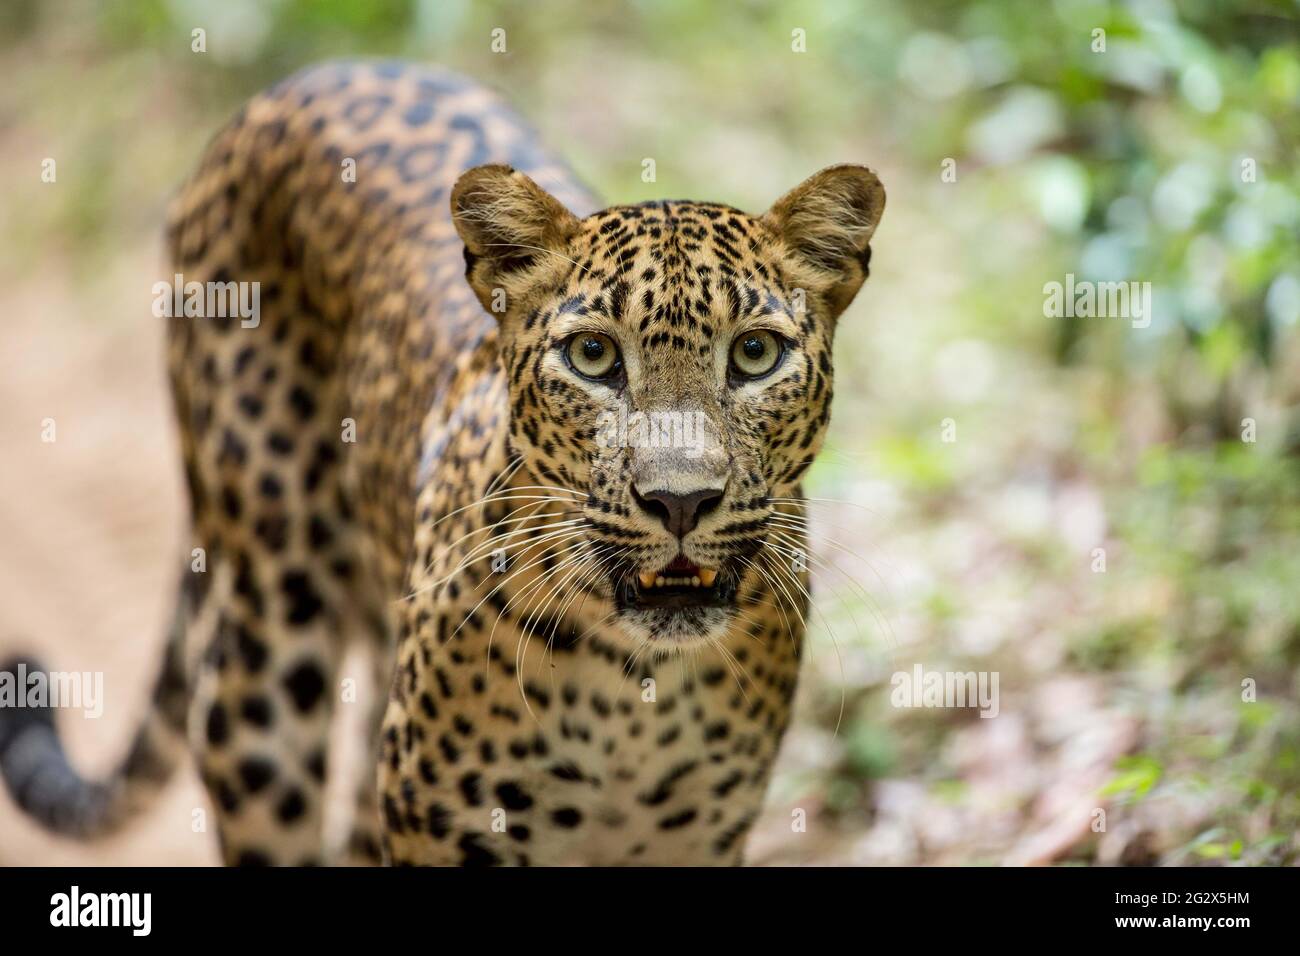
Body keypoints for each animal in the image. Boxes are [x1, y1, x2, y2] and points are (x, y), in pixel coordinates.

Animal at [0, 60, 884, 866]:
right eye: (593, 356)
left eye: (756, 353)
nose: (679, 502)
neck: (636, 690)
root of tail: (310, 77)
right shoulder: (445, 822)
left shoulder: (698, 841)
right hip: (263, 657)